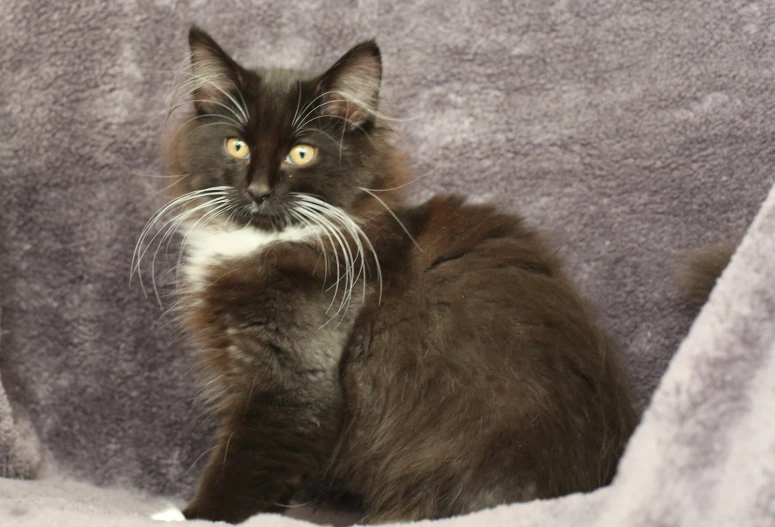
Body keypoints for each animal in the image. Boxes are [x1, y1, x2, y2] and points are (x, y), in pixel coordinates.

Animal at [142, 26, 640, 524]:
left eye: (301, 153)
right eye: (237, 146)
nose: (258, 191)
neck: (264, 243)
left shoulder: (291, 388)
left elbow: (242, 468)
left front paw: (191, 514)